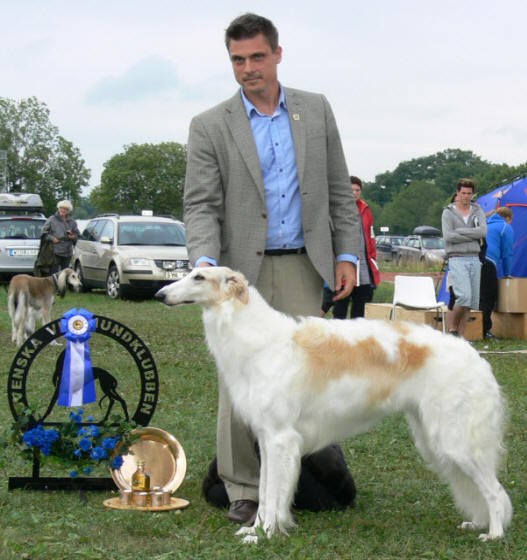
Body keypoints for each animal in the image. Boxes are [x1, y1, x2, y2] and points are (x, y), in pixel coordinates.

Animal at [155, 266, 512, 544]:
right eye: (188, 271)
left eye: (199, 276)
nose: (160, 294)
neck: (259, 340)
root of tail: (476, 358)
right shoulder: (268, 439)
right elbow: (266, 492)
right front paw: (256, 530)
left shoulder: (281, 438)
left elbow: (274, 494)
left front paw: (267, 534)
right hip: (435, 437)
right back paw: (477, 523)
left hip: (455, 441)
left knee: (494, 491)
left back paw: (493, 534)